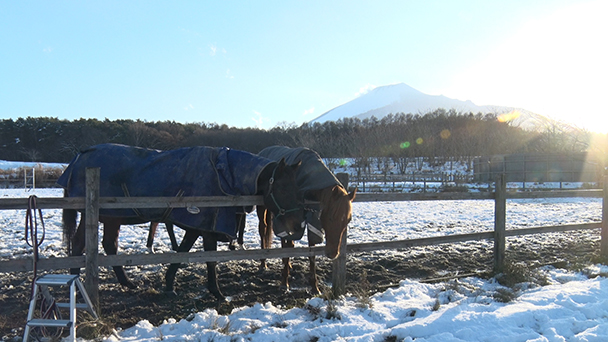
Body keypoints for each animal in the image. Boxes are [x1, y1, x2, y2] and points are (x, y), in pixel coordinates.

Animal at [58, 143, 302, 300]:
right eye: (282, 187)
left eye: (296, 186)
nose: (297, 226)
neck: (226, 173)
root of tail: (79, 158)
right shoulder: (207, 227)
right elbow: (209, 259)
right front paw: (217, 292)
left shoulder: (197, 226)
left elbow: (183, 251)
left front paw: (169, 285)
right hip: (99, 216)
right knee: (80, 244)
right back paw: (78, 285)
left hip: (112, 218)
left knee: (109, 245)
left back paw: (128, 283)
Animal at [256, 146, 356, 294]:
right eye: (331, 217)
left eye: (348, 220)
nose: (333, 253)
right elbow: (288, 247)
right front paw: (284, 283)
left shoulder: (309, 221)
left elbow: (311, 252)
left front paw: (315, 286)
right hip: (263, 209)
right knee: (263, 230)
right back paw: (264, 264)